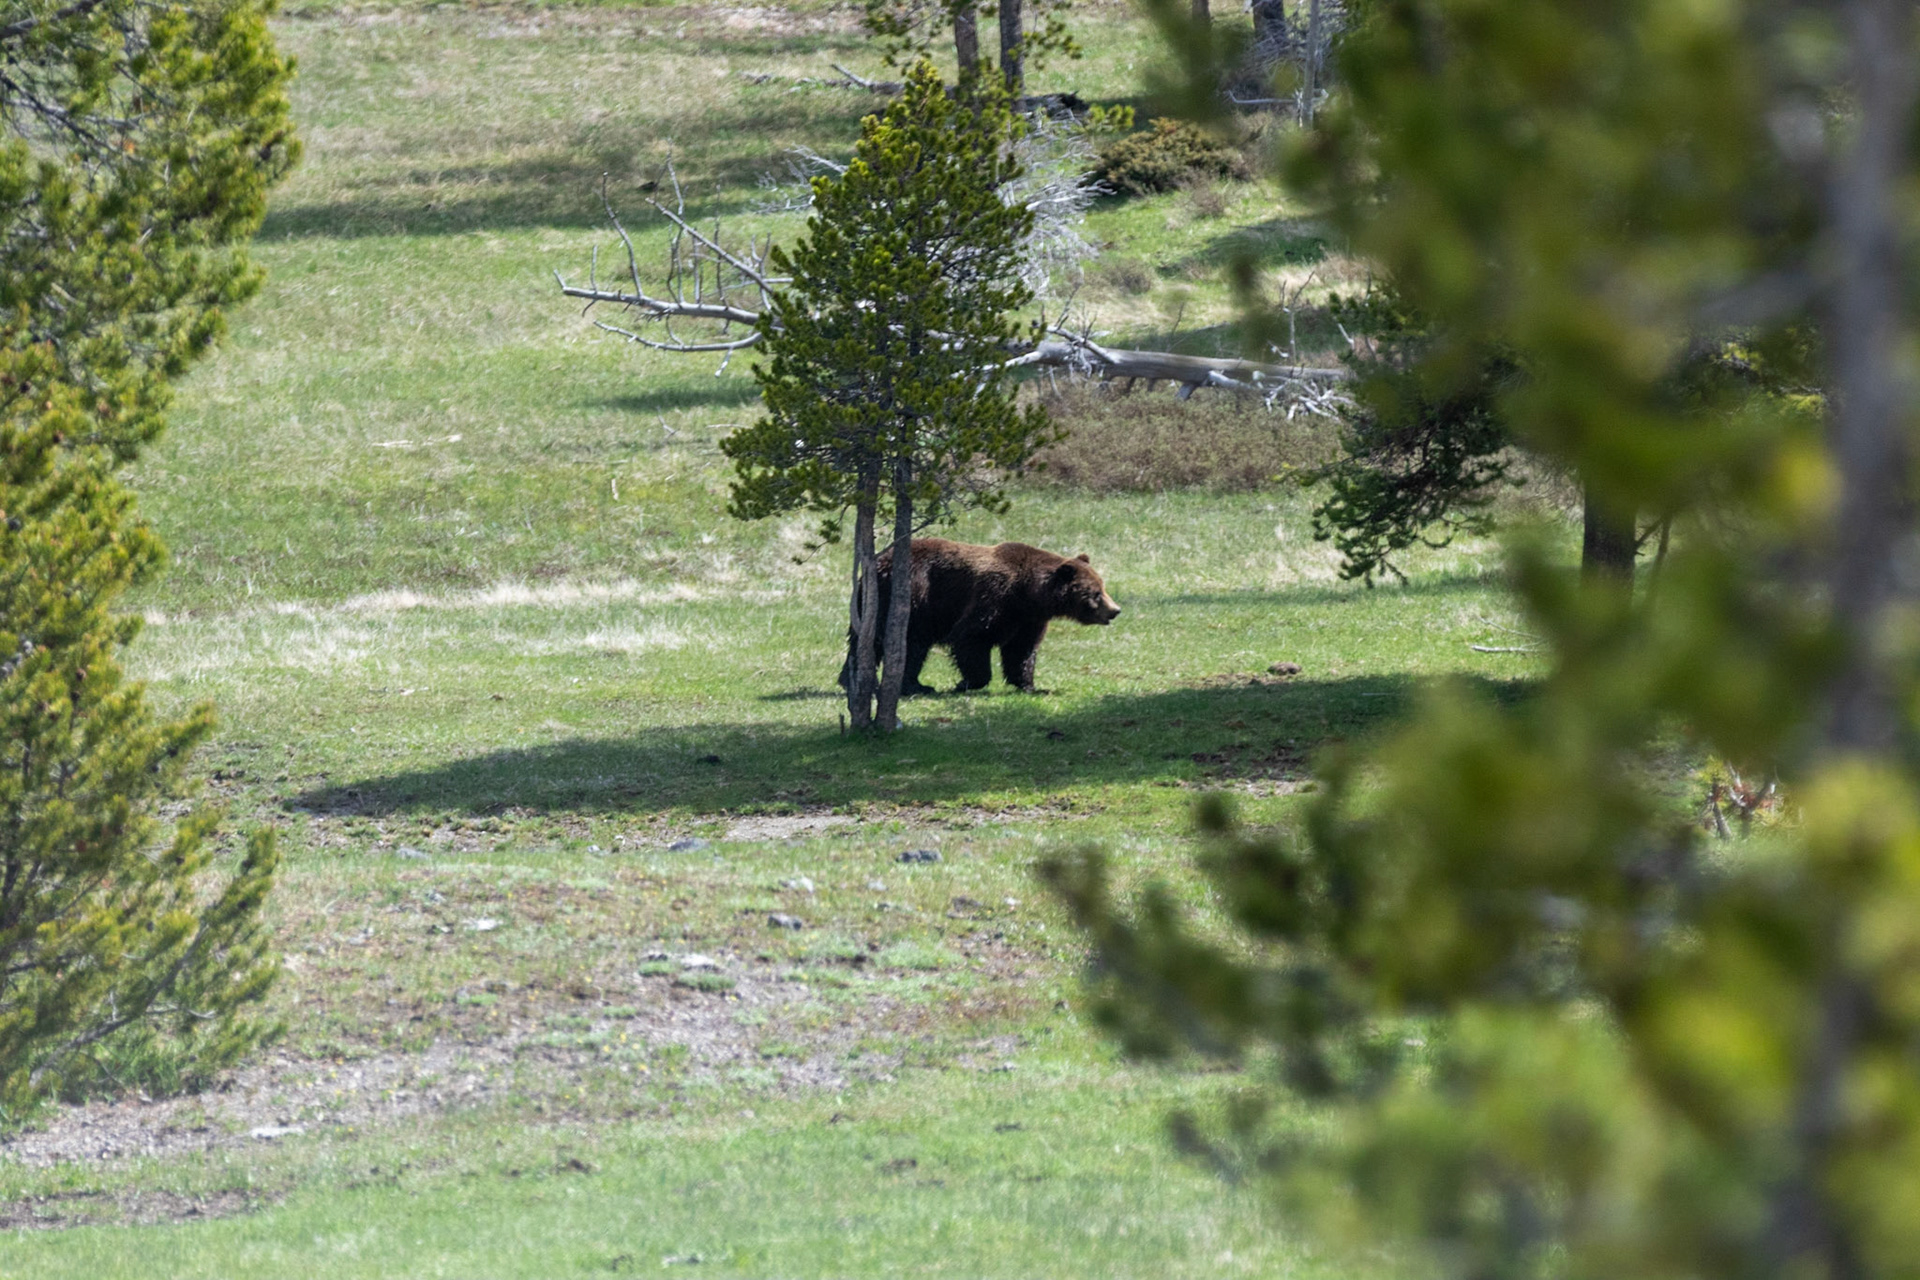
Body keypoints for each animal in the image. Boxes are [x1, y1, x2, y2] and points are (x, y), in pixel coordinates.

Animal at [838, 538, 1121, 695]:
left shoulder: (1028, 618)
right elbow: (971, 637)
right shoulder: (995, 597)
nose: (1115, 610)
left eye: (1102, 586)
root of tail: (877, 562)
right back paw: (911, 686)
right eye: (1095, 593)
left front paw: (1033, 685)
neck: (1028, 593)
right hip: (910, 598)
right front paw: (965, 682)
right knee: (906, 644)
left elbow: (1021, 651)